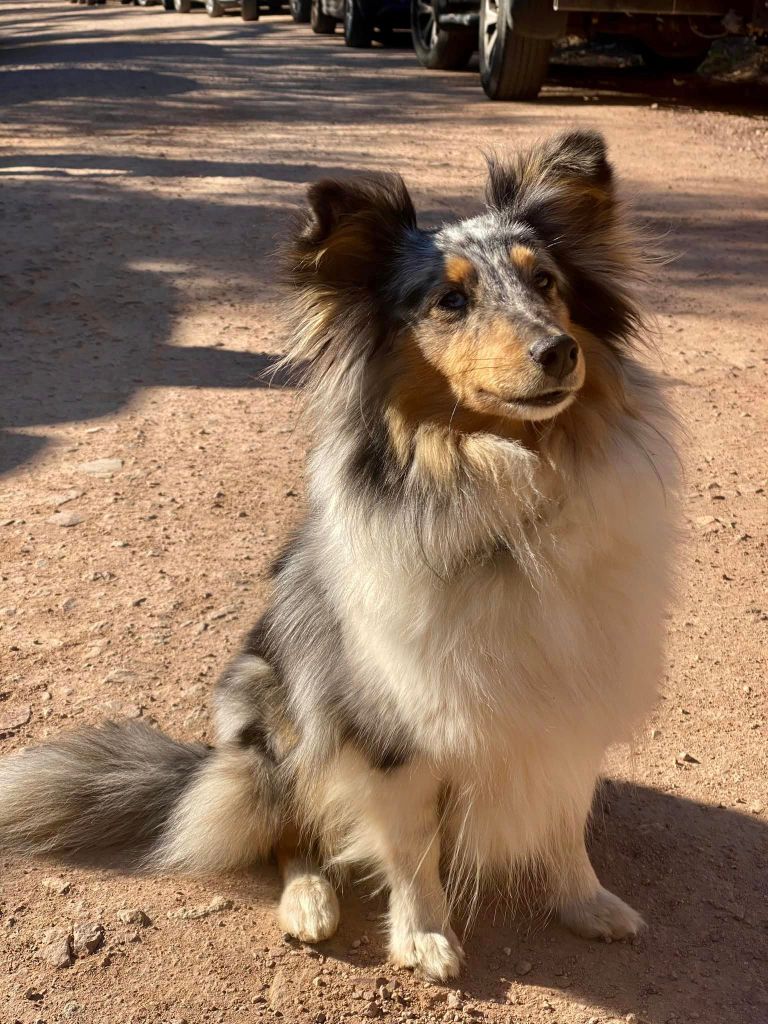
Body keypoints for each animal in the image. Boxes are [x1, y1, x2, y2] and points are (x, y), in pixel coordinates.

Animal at [0, 132, 675, 978]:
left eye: (545, 282)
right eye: (449, 301)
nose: (558, 354)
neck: (505, 496)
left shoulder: (572, 699)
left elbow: (563, 818)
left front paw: (588, 902)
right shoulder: (388, 725)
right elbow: (412, 846)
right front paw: (424, 938)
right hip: (276, 712)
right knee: (288, 834)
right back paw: (310, 903)